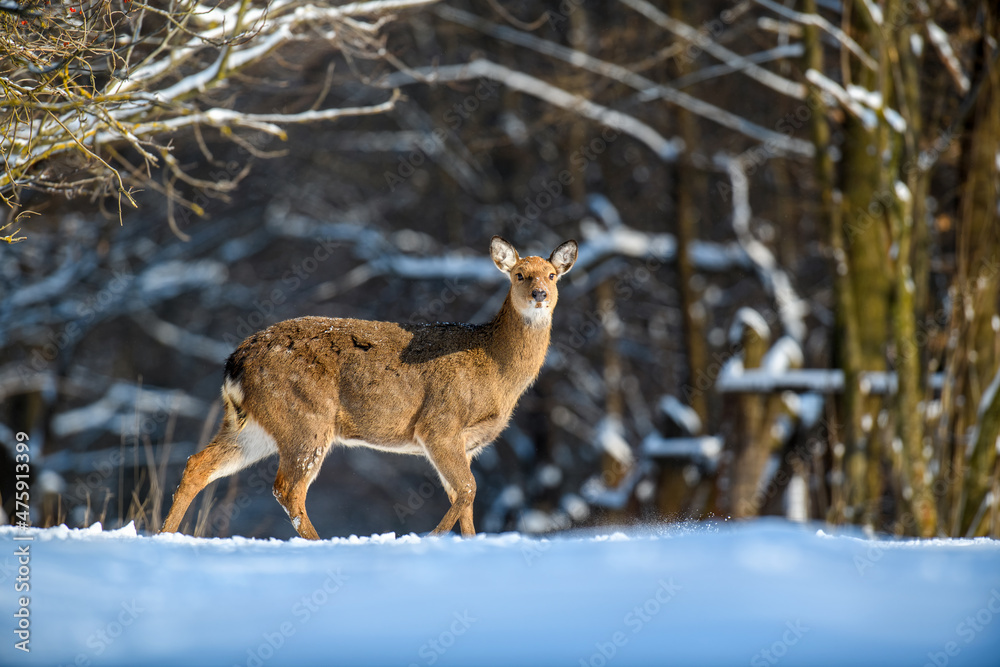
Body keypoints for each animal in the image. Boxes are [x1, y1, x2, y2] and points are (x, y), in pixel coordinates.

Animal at [159, 237, 576, 540]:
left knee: (198, 464)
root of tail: (236, 361)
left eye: (552, 275)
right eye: (519, 274)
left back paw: (164, 535)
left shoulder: (469, 443)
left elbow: (466, 500)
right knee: (288, 488)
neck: (496, 369)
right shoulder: (439, 424)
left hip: (254, 424)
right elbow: (469, 490)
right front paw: (431, 537)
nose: (540, 294)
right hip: (306, 417)